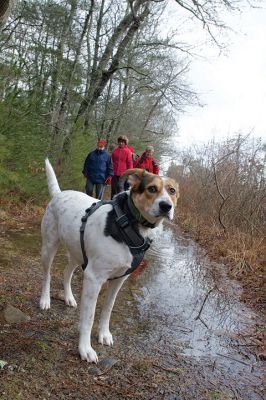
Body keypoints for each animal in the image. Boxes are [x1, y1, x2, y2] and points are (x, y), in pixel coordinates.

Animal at [39, 159, 179, 362]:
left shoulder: (119, 279)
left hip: (78, 253)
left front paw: (104, 334)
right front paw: (85, 348)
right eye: (152, 189)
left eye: (172, 190)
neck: (127, 223)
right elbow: (89, 317)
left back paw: (69, 297)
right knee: (47, 275)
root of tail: (59, 194)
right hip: (49, 247)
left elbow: (107, 309)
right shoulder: (94, 278)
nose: (166, 206)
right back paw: (45, 300)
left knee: (67, 272)